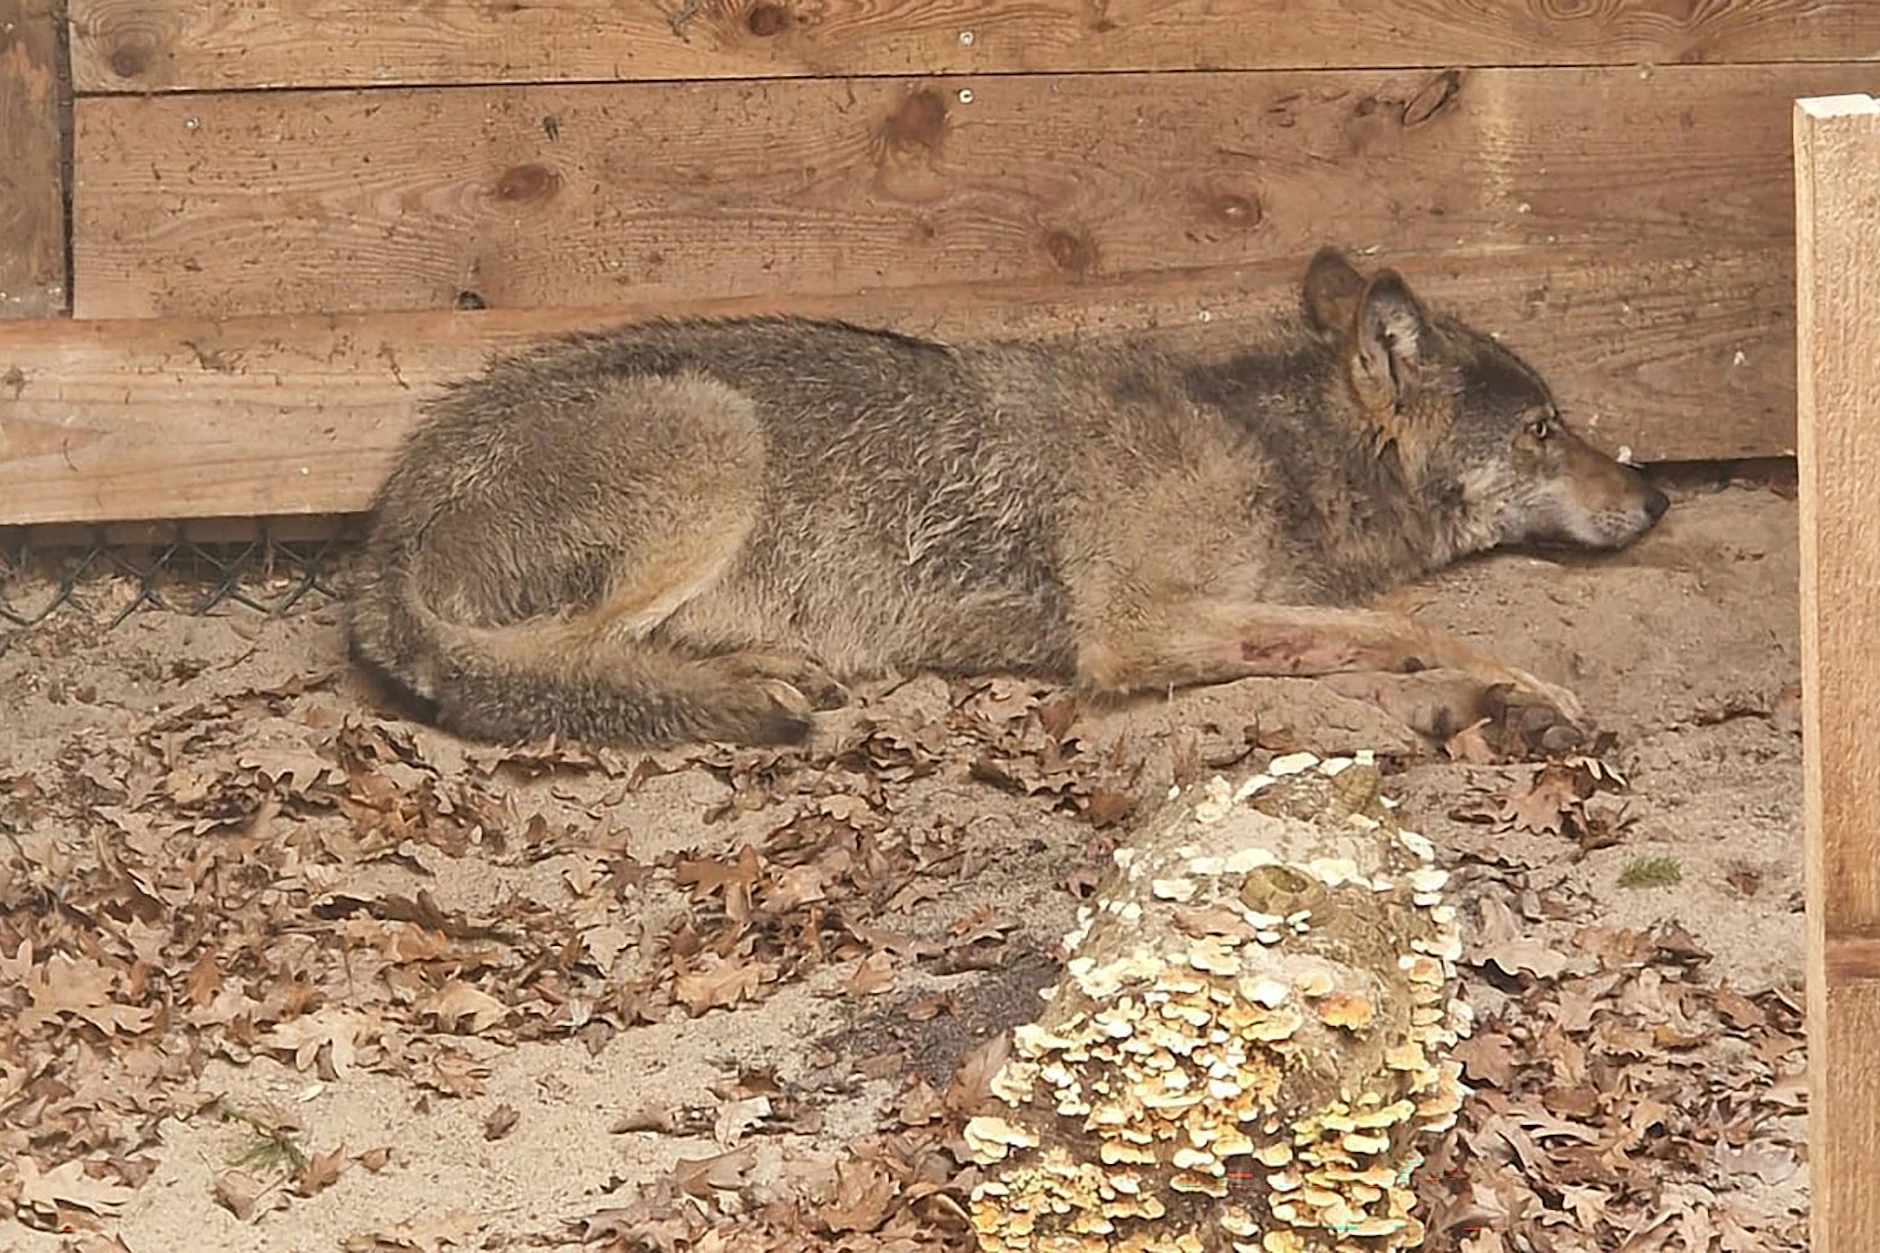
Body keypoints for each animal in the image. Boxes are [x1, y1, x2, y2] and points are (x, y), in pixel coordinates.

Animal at [345, 248, 1668, 751]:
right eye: (1545, 429)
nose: (1655, 495)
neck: (1268, 446)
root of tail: (380, 535)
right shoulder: (1130, 627)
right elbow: (1408, 625)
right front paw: (1522, 686)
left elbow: (1359, 639)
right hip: (714, 435)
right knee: (552, 665)